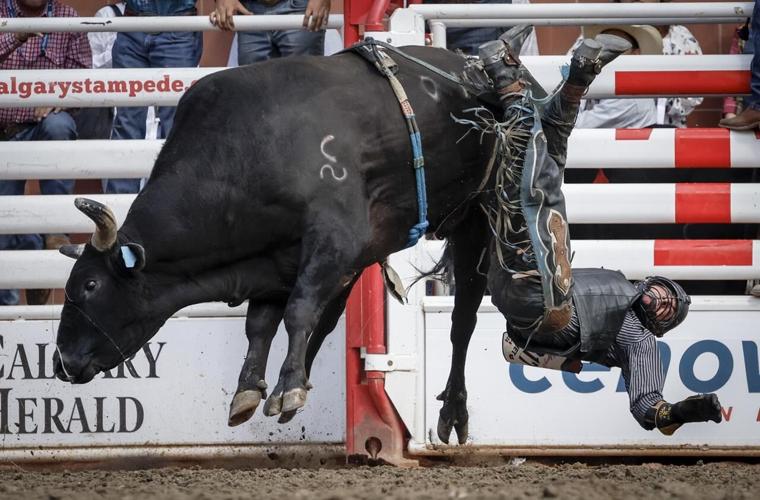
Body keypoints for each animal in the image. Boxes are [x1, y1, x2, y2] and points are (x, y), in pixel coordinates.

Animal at [55, 47, 504, 444]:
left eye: (91, 285)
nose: (62, 362)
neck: (247, 151)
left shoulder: (334, 238)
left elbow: (299, 310)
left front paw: (288, 389)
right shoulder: (272, 260)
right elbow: (261, 325)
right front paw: (250, 390)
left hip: (476, 222)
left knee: (462, 320)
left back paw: (452, 412)